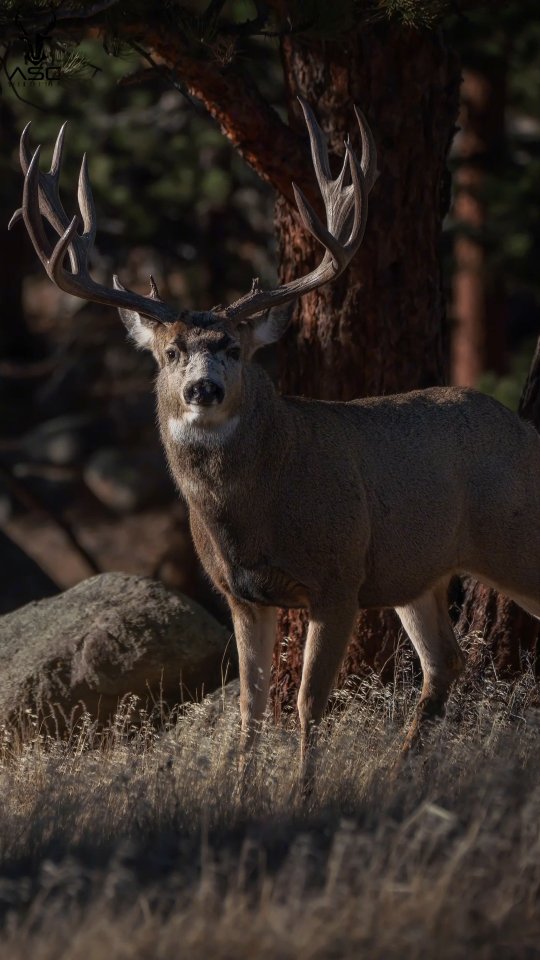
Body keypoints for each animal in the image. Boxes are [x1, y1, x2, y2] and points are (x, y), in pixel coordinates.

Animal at [9, 101, 540, 788]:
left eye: (235, 348)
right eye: (171, 352)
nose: (203, 388)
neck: (258, 510)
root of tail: (526, 429)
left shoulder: (338, 578)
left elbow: (308, 700)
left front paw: (301, 793)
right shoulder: (241, 594)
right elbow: (251, 706)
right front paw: (240, 792)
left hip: (512, 539)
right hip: (416, 573)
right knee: (444, 662)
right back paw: (400, 772)